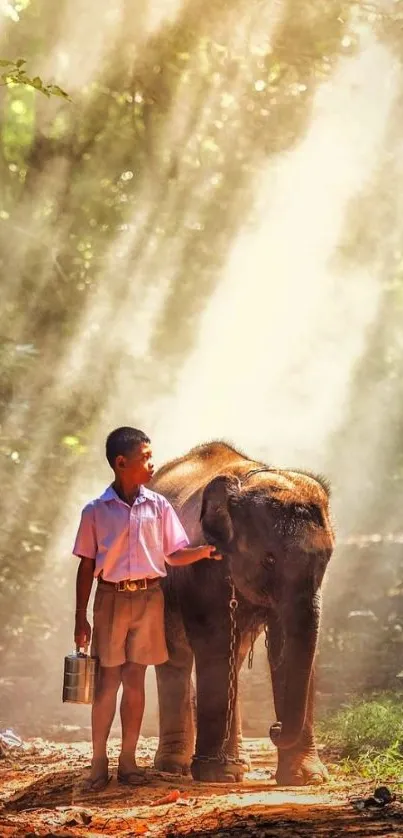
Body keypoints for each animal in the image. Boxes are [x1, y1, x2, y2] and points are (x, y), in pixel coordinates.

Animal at [152, 442, 334, 792]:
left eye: (327, 559)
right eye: (269, 559)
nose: (273, 728)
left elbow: (283, 649)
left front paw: (306, 779)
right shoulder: (200, 567)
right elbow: (214, 647)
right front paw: (215, 776)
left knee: (234, 659)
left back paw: (240, 763)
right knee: (177, 659)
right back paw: (174, 767)